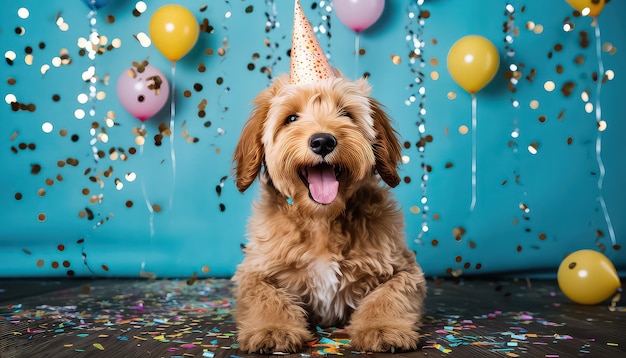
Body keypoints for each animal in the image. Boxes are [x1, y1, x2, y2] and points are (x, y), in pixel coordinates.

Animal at [232, 0, 426, 354]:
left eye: (346, 114)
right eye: (291, 118)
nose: (323, 141)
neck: (322, 221)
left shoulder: (404, 268)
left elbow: (388, 296)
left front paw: (383, 328)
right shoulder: (254, 271)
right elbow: (266, 297)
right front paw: (272, 329)